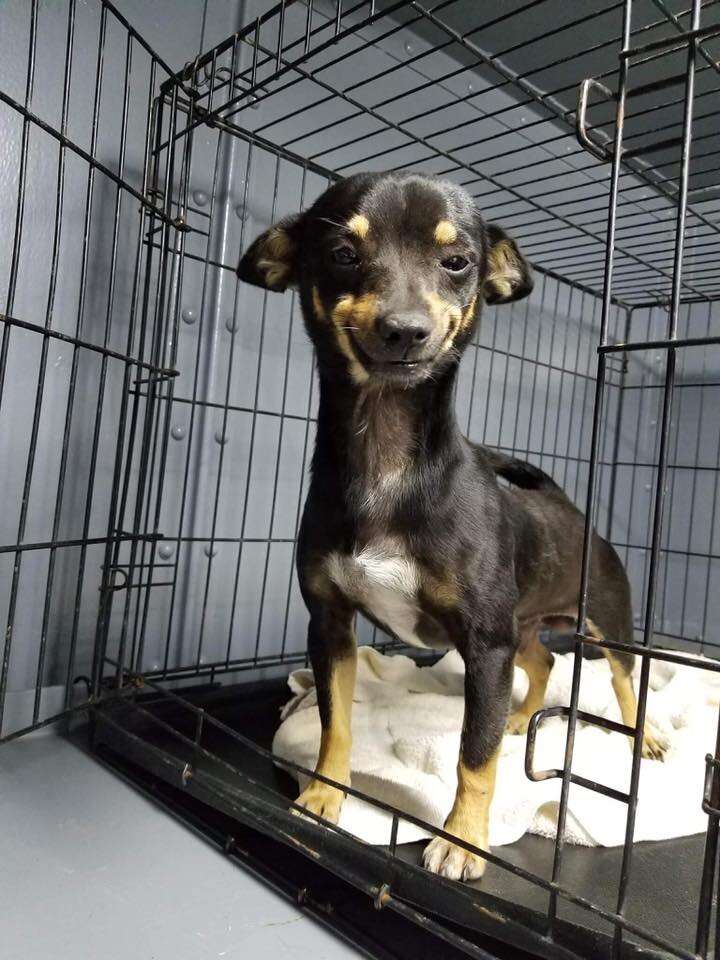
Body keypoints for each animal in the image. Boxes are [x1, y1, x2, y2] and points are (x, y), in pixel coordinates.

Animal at [239, 172, 668, 884]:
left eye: (458, 261)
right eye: (343, 255)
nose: (405, 330)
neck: (386, 457)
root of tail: (571, 509)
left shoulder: (485, 647)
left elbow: (475, 754)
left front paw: (463, 840)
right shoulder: (331, 623)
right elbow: (335, 723)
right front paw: (326, 795)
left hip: (604, 618)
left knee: (624, 679)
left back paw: (647, 737)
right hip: (521, 626)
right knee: (545, 660)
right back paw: (523, 718)